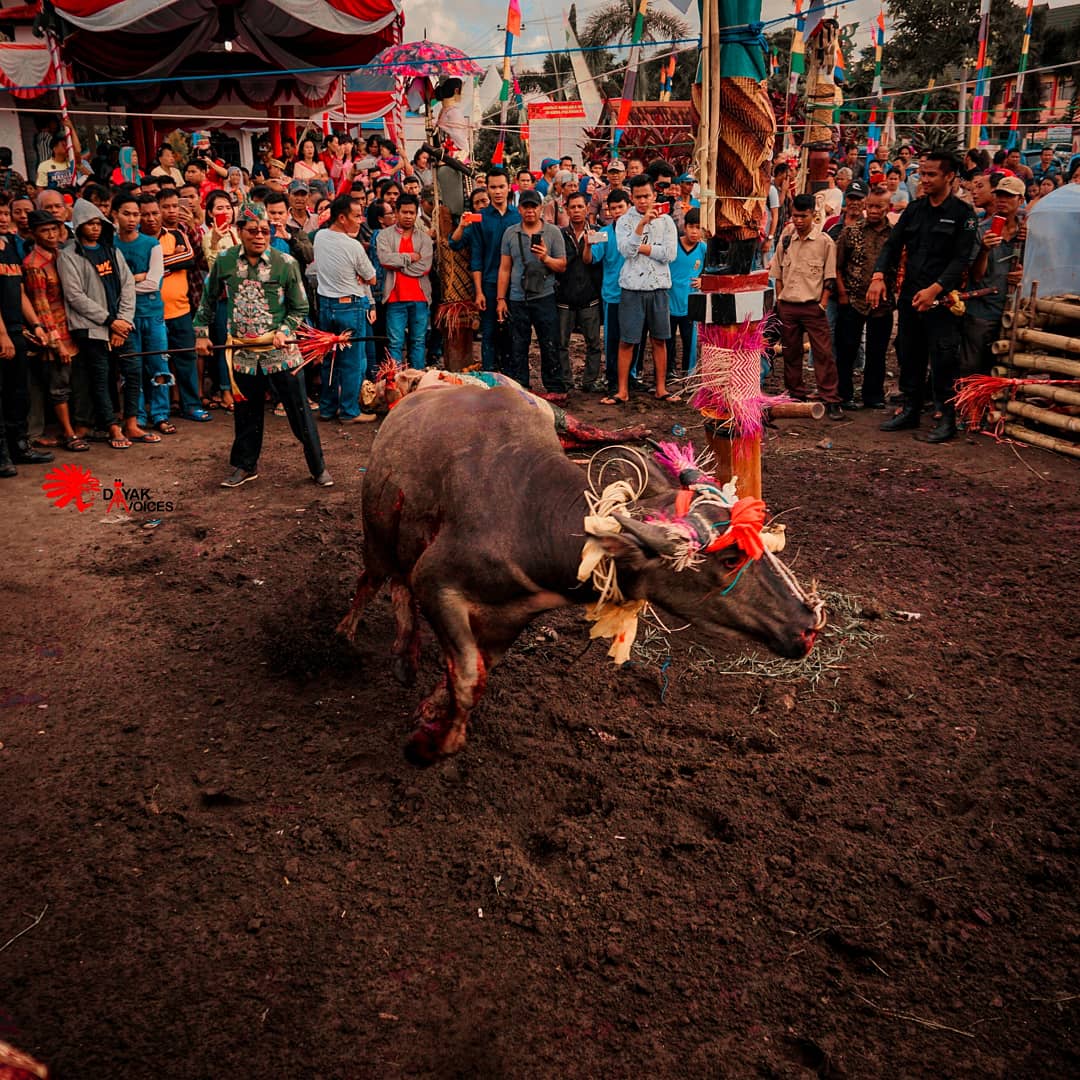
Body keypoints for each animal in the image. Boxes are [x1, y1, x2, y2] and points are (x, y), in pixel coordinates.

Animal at [339, 384, 825, 764]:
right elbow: (467, 674)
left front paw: (432, 711)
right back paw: (358, 636)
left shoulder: (509, 618)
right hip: (378, 535)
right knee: (378, 580)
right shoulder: (435, 581)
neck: (524, 513)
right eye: (729, 558)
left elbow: (471, 672)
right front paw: (431, 745)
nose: (807, 624)